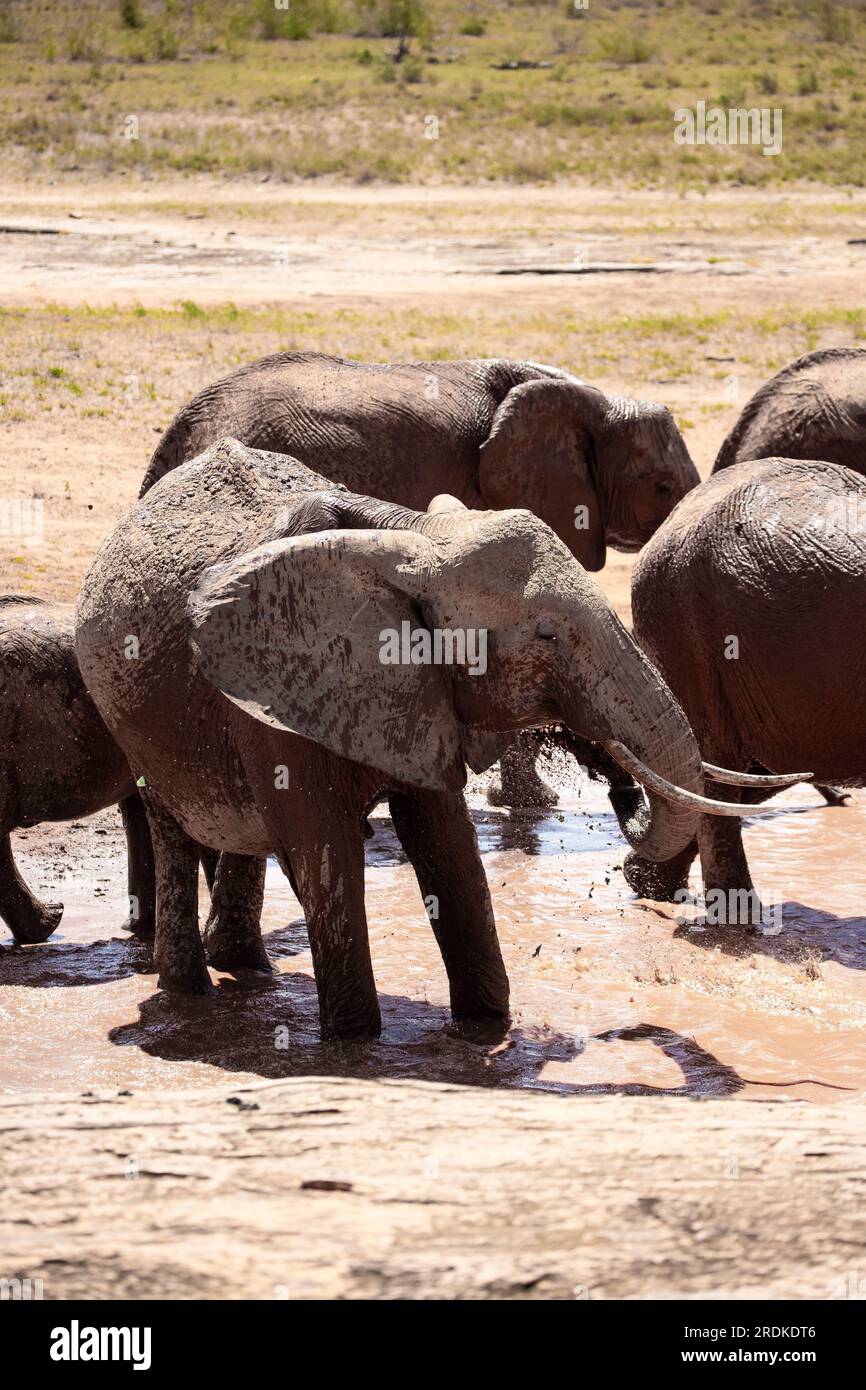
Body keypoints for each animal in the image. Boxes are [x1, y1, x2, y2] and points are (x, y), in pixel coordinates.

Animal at [77, 439, 795, 1039]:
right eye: (545, 634)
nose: (617, 782)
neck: (410, 536)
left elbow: (448, 846)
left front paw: (486, 1031)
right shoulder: (279, 686)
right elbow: (325, 855)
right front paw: (356, 1045)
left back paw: (248, 972)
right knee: (174, 824)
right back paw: (190, 992)